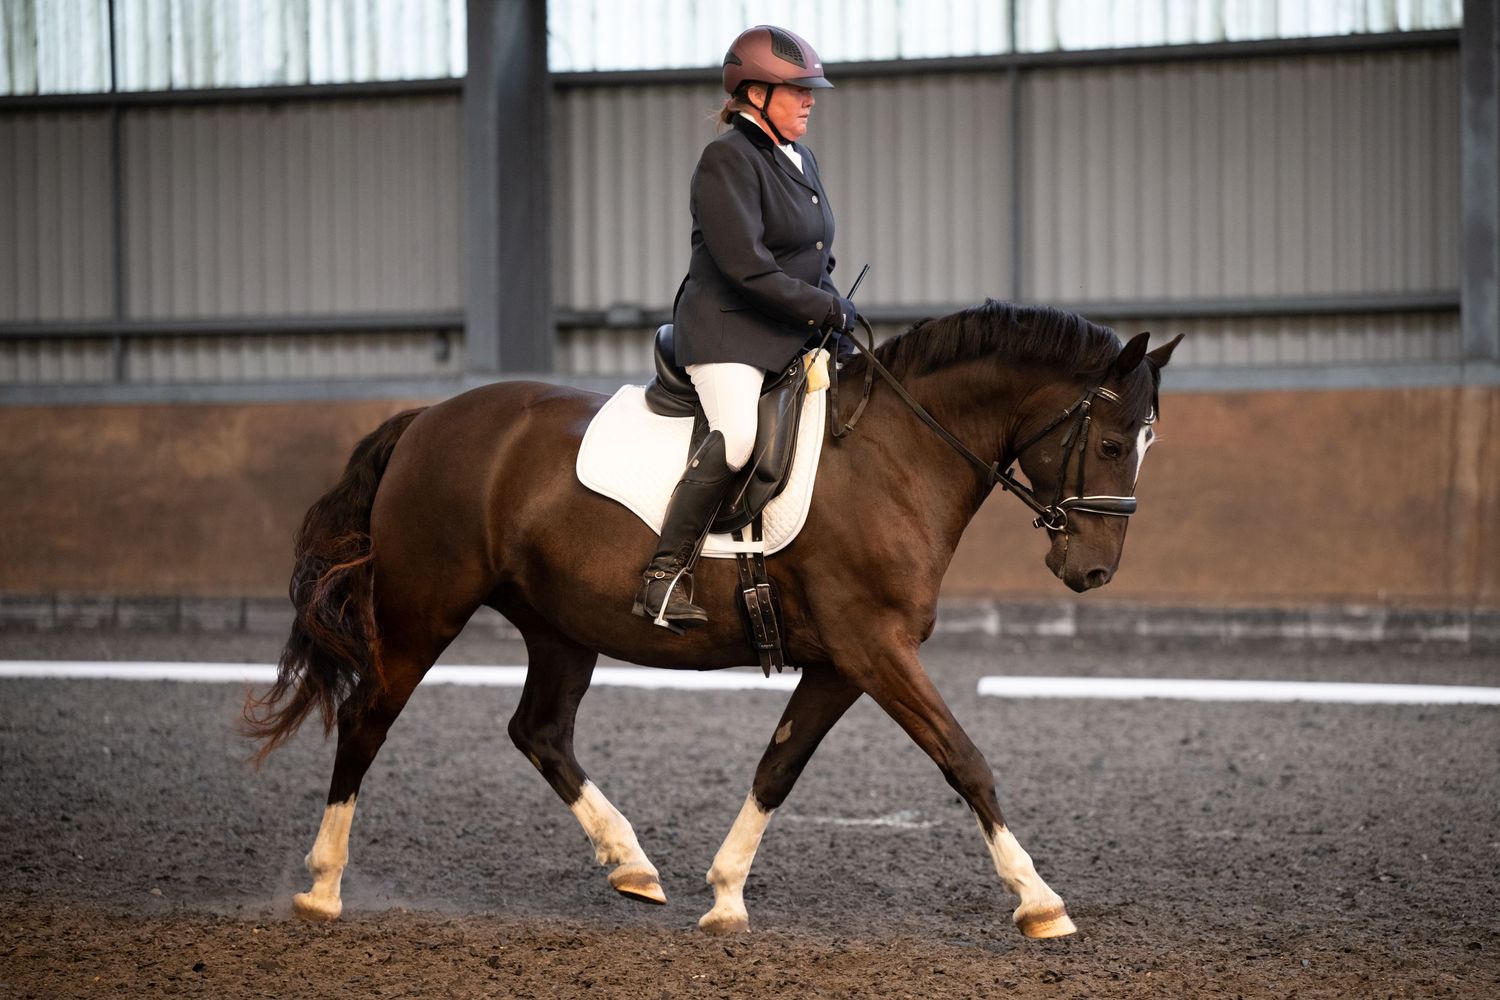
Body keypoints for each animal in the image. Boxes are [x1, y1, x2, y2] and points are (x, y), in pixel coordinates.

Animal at [245, 299, 1181, 938]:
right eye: (1109, 443)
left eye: (1146, 446)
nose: (1092, 572)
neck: (894, 457)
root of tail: (425, 420)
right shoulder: (874, 648)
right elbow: (966, 761)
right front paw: (1040, 901)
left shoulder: (842, 661)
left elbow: (778, 766)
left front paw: (726, 894)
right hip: (422, 609)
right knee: (368, 717)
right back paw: (322, 886)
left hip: (560, 626)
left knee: (539, 731)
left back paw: (631, 865)